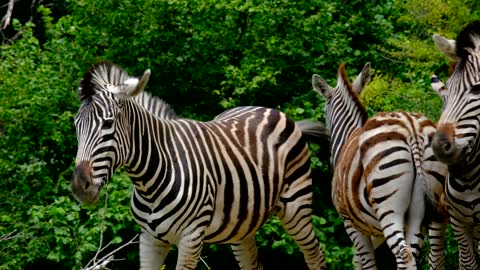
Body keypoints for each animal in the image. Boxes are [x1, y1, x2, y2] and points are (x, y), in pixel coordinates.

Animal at [71, 61, 330, 270]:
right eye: (76, 125)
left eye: (108, 123)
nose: (79, 186)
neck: (150, 179)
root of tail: (271, 110)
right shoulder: (149, 239)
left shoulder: (191, 237)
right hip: (242, 226)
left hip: (296, 207)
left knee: (316, 255)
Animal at [314, 63, 448, 270]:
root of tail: (411, 128)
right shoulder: (374, 230)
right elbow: (357, 260)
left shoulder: (350, 222)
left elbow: (366, 262)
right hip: (423, 209)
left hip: (388, 207)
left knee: (404, 254)